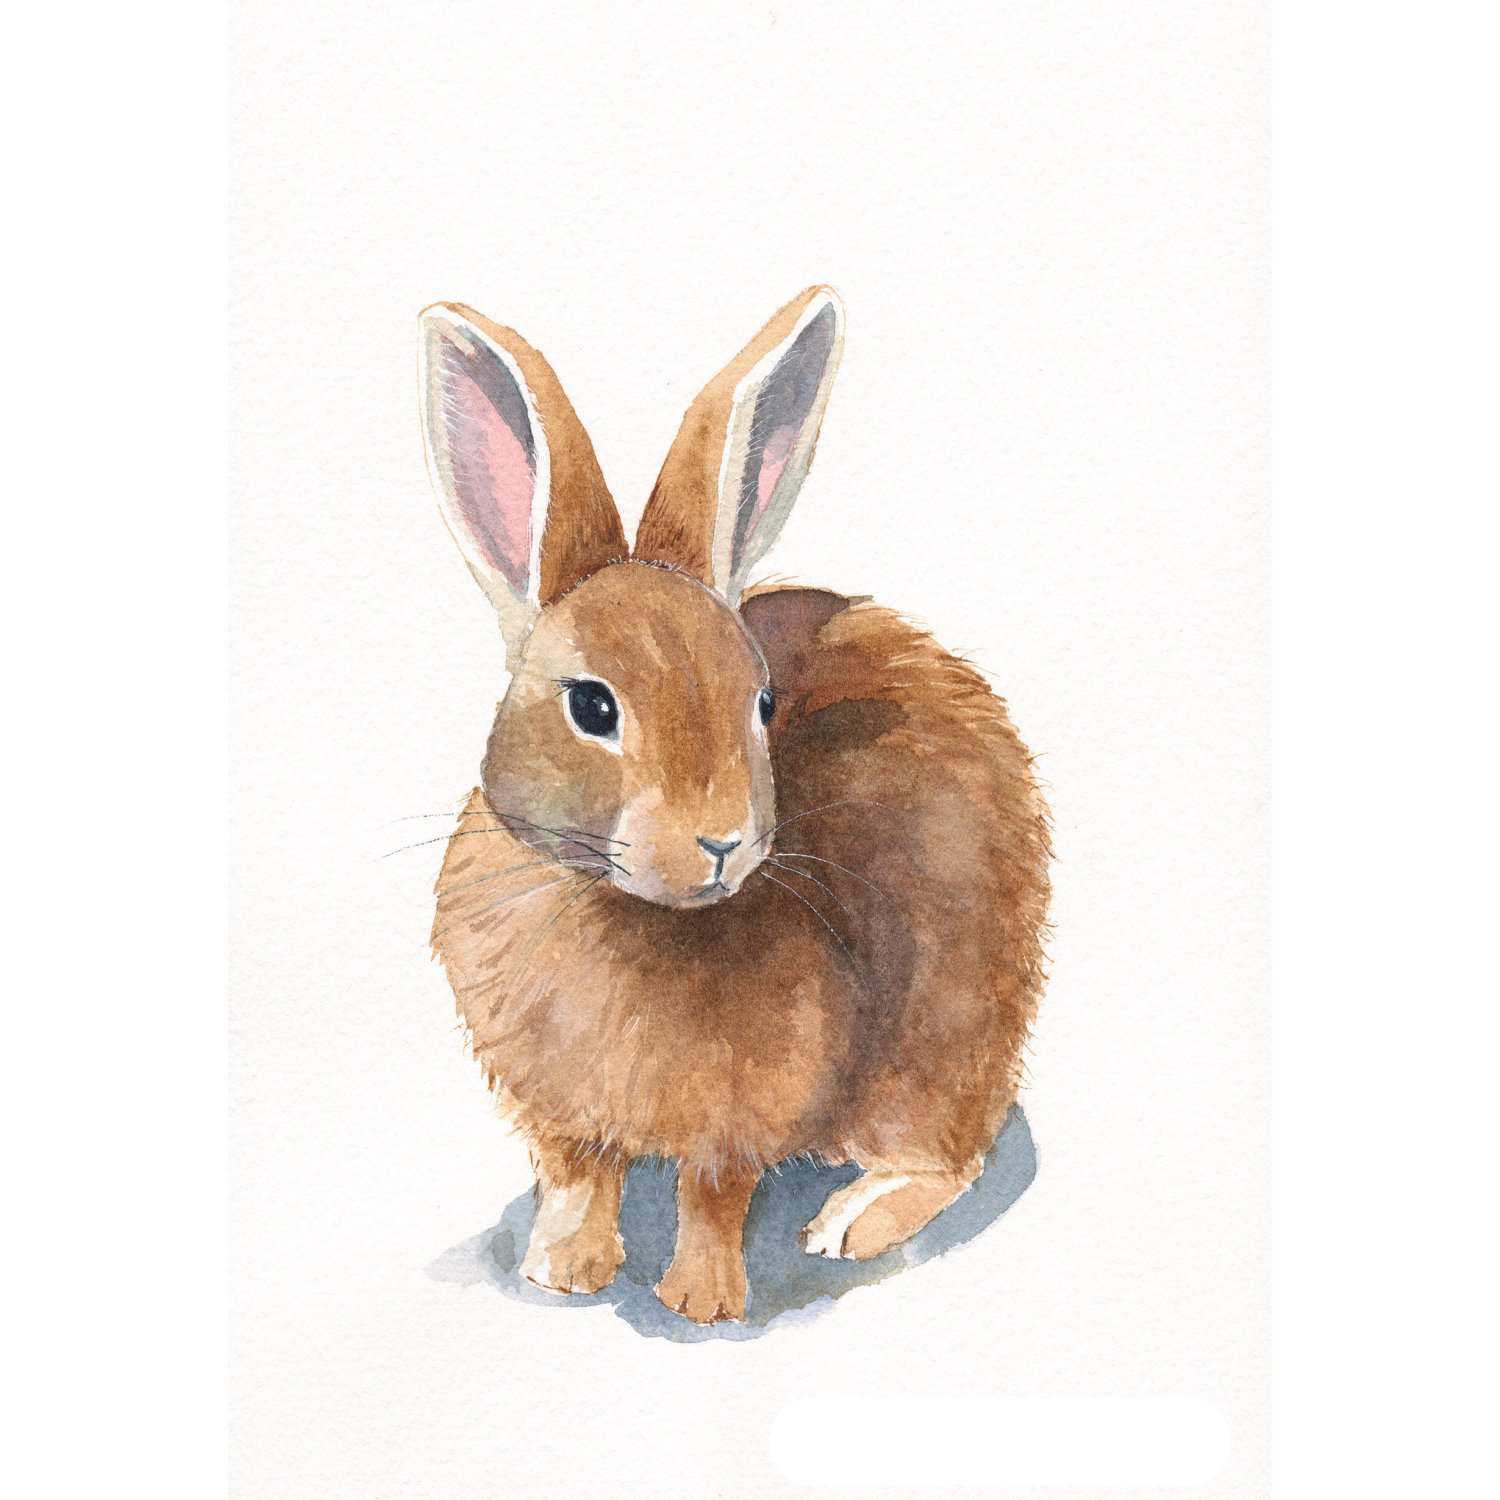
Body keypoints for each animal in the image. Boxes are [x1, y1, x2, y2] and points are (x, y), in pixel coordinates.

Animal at [419, 287, 1051, 1324]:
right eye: (592, 706)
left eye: (760, 702)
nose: (722, 841)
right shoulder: (555, 1113)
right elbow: (579, 1178)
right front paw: (560, 1270)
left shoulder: (752, 1104)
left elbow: (714, 1192)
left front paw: (701, 1302)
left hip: (942, 1038)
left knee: (947, 1155)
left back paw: (850, 1220)